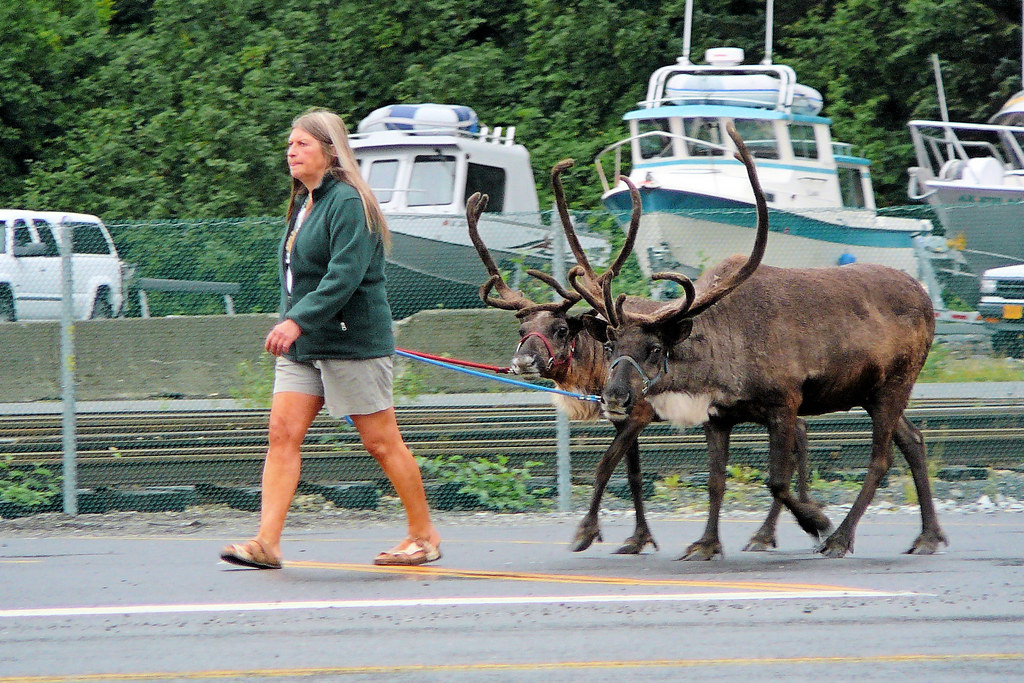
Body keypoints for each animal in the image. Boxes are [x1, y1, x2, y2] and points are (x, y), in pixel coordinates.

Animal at [466, 152, 817, 556]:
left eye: (561, 330)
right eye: (522, 332)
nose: (522, 361)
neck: (598, 366)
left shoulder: (639, 414)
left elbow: (605, 466)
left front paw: (586, 531)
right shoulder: (621, 418)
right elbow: (632, 474)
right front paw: (638, 537)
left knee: (795, 436)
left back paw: (776, 528)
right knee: (800, 430)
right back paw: (784, 524)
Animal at [570, 121, 948, 559]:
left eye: (655, 349)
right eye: (611, 346)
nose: (614, 395)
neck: (720, 360)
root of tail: (926, 298)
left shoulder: (785, 404)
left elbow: (777, 481)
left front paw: (816, 522)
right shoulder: (717, 416)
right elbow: (715, 482)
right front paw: (706, 544)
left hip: (896, 383)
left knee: (881, 459)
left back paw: (840, 538)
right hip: (870, 391)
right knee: (914, 440)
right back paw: (928, 535)